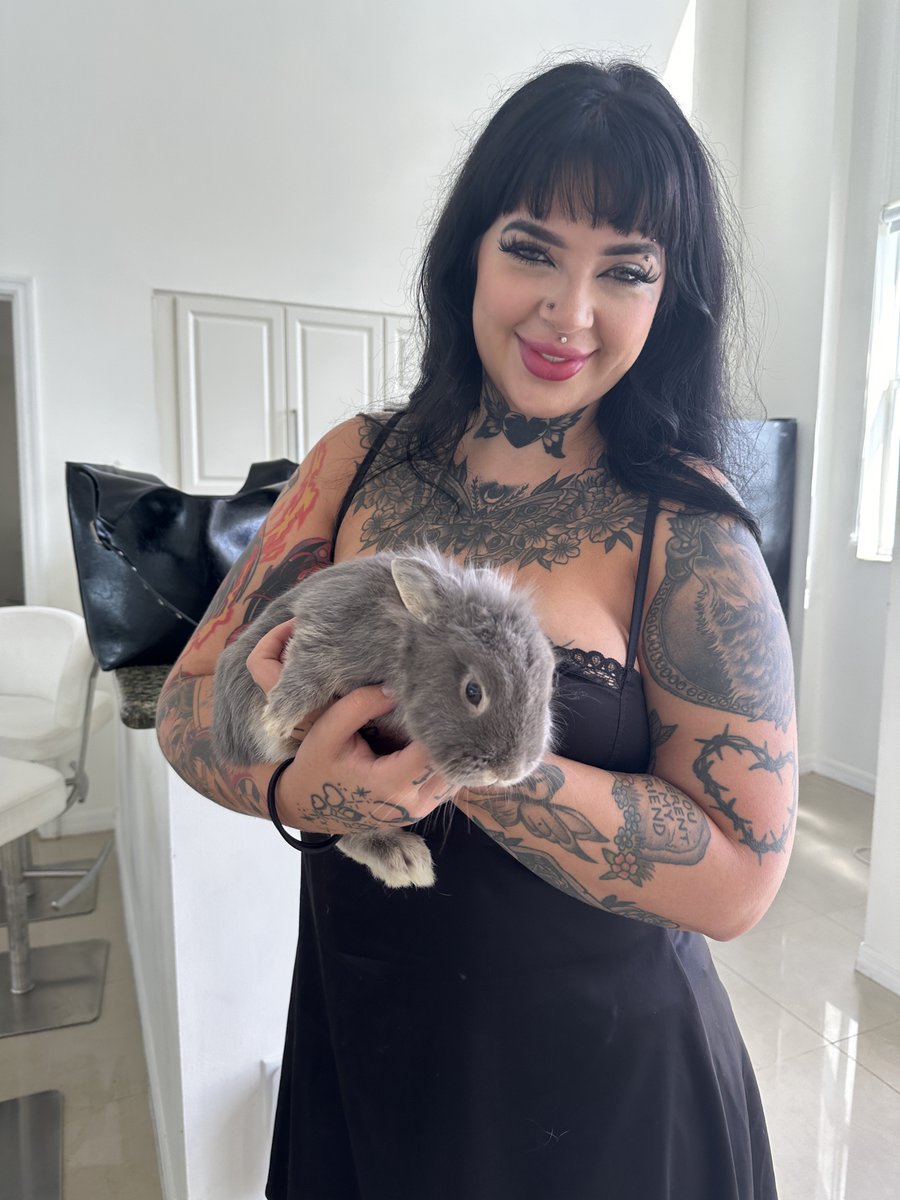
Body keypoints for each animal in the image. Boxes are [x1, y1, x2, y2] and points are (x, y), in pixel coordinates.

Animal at [212, 546, 557, 888]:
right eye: (473, 691)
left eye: (549, 683)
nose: (509, 771)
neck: (404, 644)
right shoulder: (329, 625)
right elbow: (309, 661)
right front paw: (280, 715)